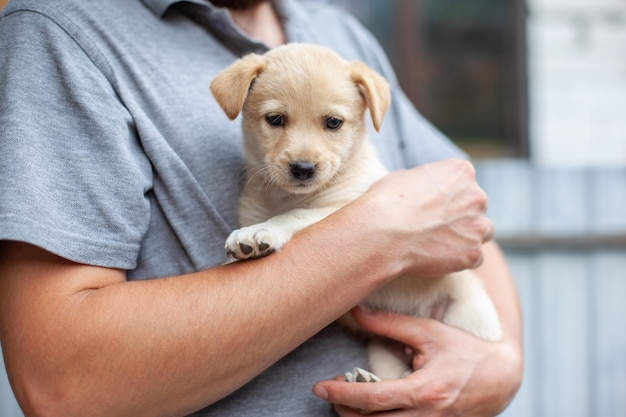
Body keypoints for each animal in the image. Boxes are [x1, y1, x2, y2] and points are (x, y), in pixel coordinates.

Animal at [208, 43, 498, 380]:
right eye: (275, 119)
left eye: (333, 122)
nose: (303, 168)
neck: (287, 197)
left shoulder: (346, 203)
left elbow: (296, 216)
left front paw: (259, 234)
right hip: (381, 347)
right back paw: (369, 380)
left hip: (466, 318)